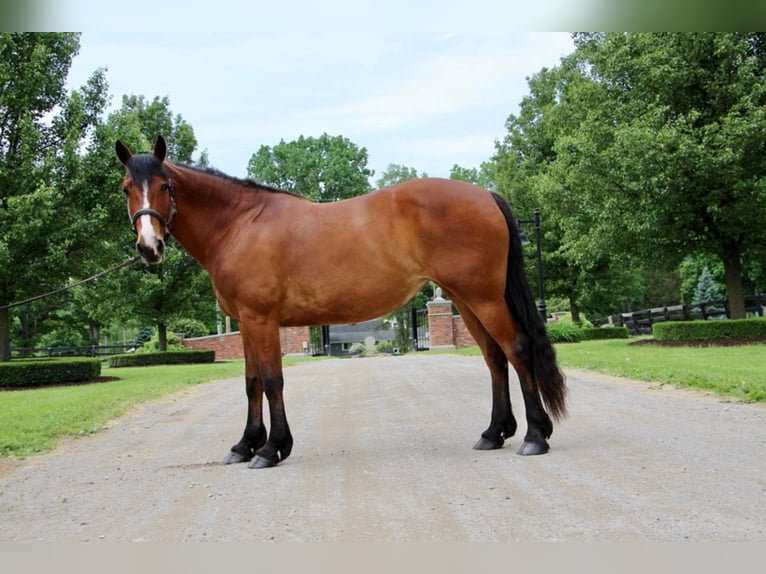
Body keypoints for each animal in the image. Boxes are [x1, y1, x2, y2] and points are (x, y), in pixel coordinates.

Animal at [115, 137, 568, 470]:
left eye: (165, 186)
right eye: (126, 188)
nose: (149, 247)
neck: (241, 224)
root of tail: (486, 195)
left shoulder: (261, 319)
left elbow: (273, 380)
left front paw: (271, 450)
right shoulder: (244, 322)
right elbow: (251, 383)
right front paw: (244, 445)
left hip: (483, 297)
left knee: (517, 349)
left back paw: (534, 437)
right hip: (465, 299)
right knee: (494, 357)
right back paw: (494, 433)